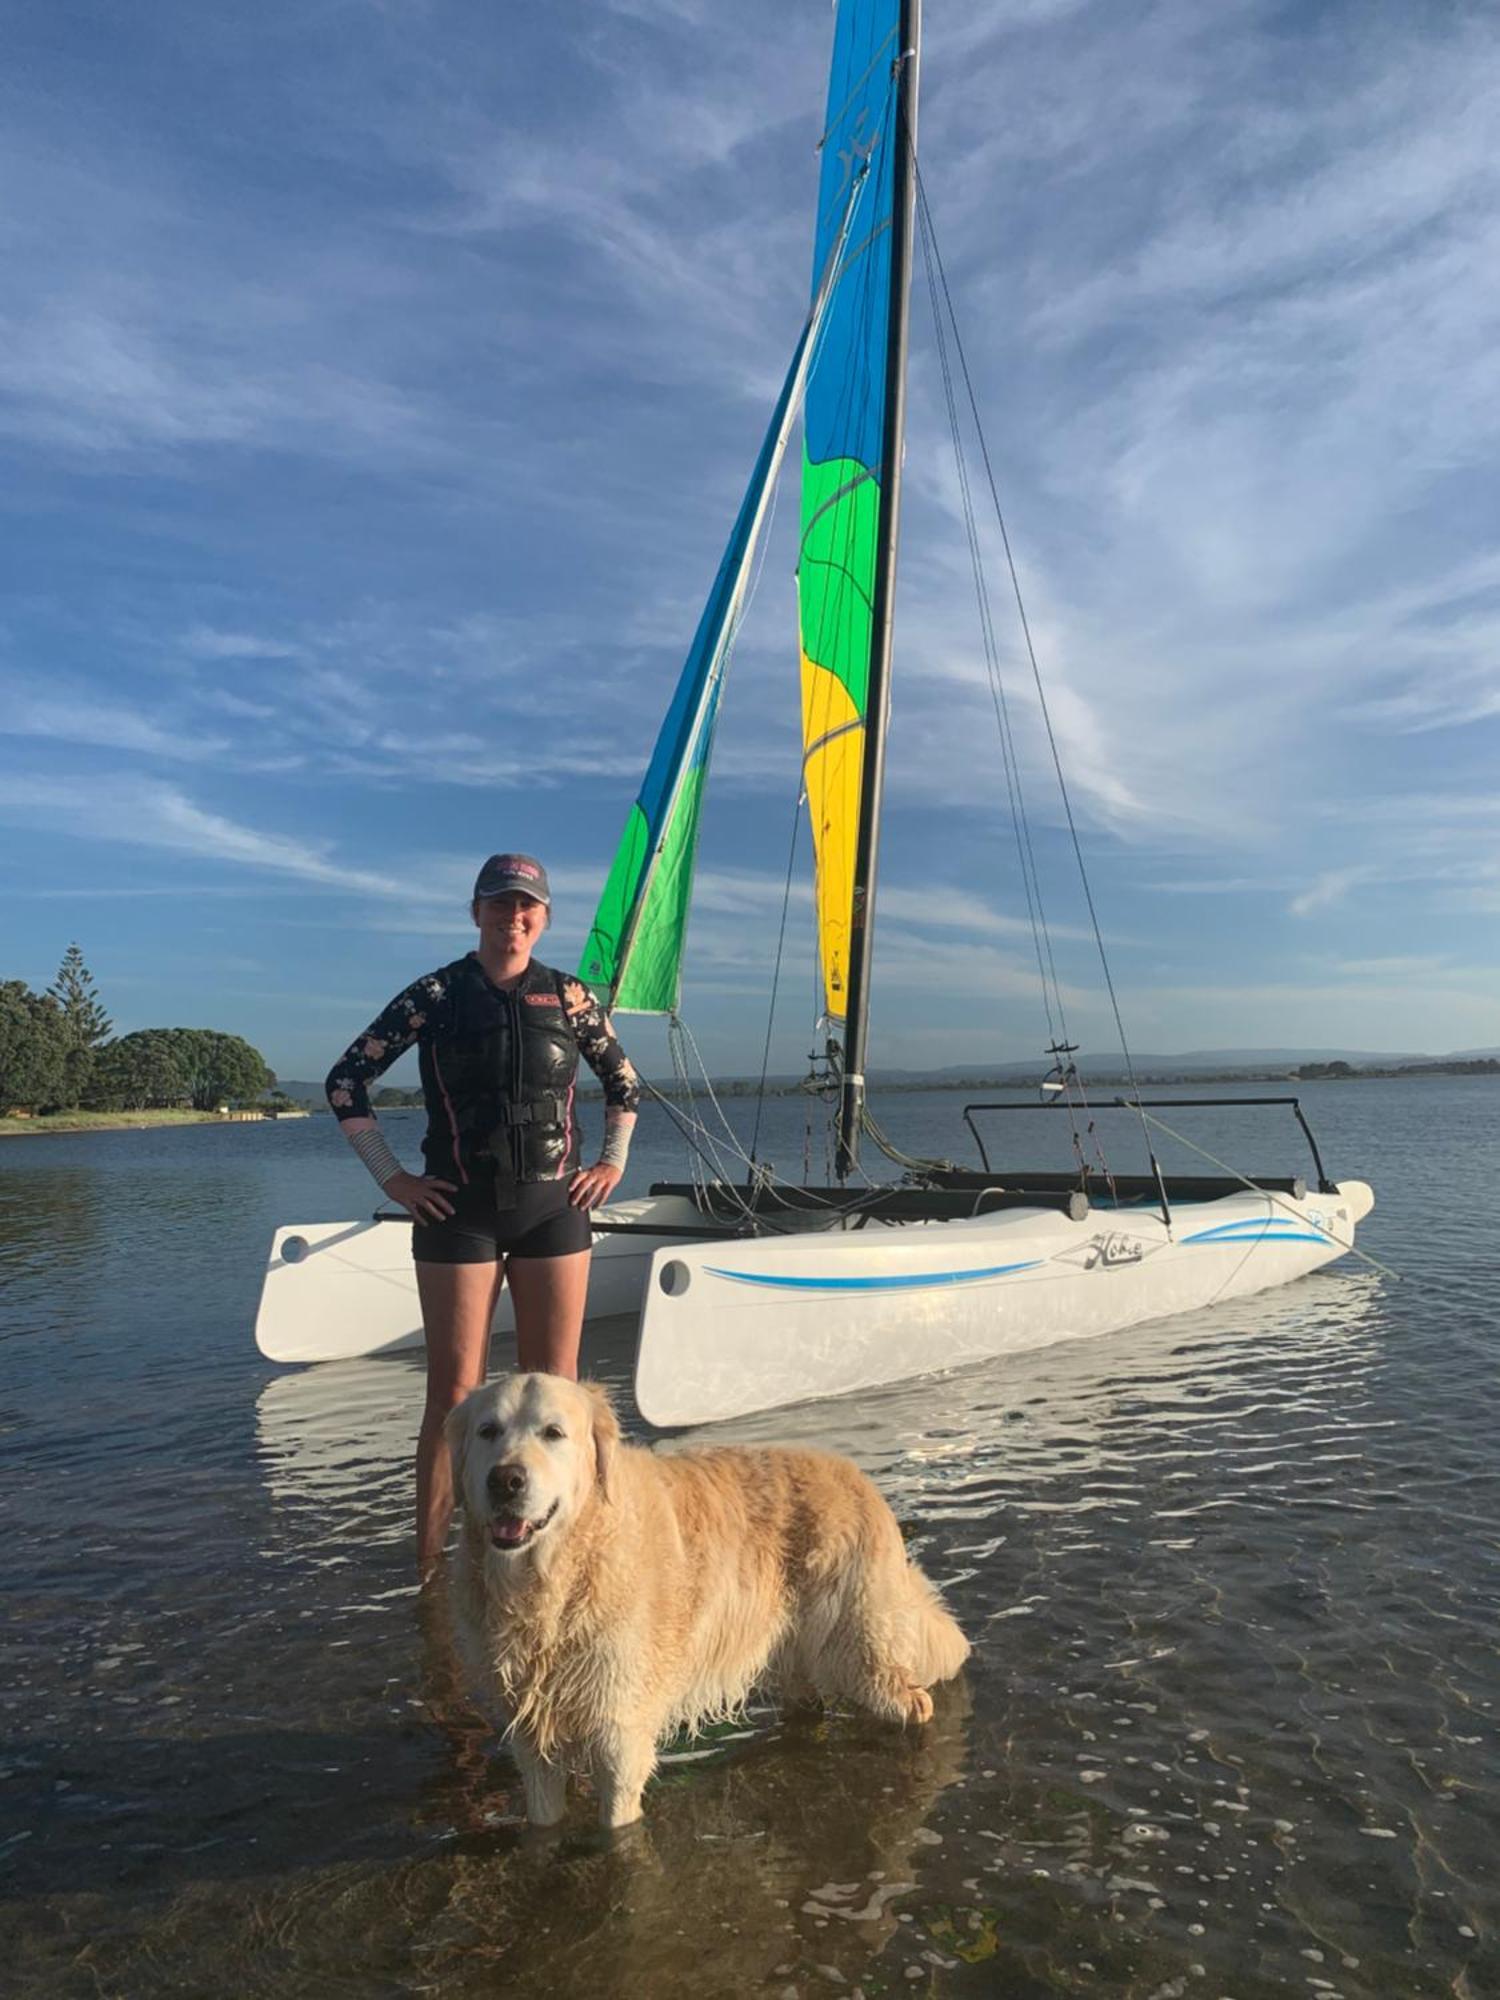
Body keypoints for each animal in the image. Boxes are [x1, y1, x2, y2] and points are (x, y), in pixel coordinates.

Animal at [444, 1376, 976, 1832]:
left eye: (553, 1432)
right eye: (488, 1430)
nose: (505, 1480)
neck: (550, 1585)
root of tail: (860, 1479)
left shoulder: (620, 1737)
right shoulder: (533, 1744)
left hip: (861, 1652)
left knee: (917, 1702)